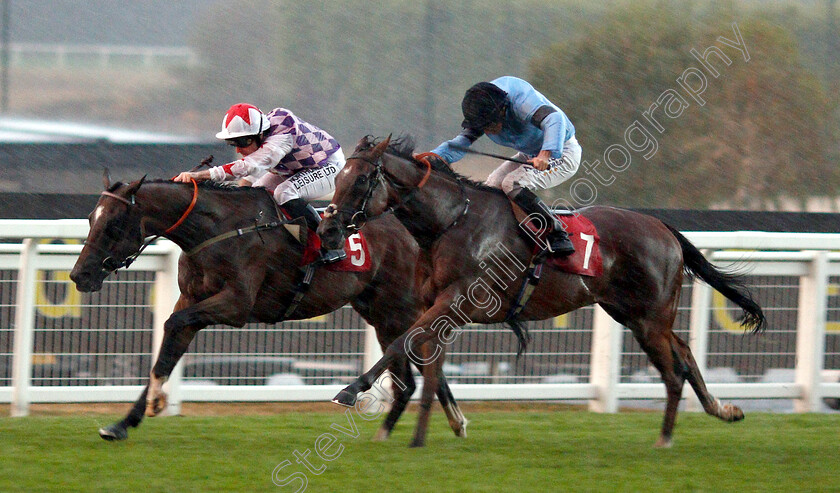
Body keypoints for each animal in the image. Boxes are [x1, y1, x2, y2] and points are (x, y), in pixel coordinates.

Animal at [69, 175, 470, 444]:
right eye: (90, 218)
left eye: (113, 223)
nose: (79, 275)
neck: (215, 229)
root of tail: (419, 235)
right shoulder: (193, 300)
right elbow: (166, 353)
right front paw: (123, 422)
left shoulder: (235, 305)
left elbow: (171, 325)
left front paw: (156, 401)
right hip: (379, 312)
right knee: (411, 372)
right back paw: (415, 426)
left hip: (398, 307)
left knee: (421, 360)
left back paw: (437, 421)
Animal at [318, 136, 764, 448]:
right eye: (336, 178)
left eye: (361, 179)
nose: (328, 228)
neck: (452, 221)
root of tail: (663, 228)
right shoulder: (436, 305)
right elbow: (428, 365)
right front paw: (421, 436)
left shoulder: (454, 302)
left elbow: (403, 345)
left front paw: (351, 391)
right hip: (632, 313)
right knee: (684, 352)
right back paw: (722, 410)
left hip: (649, 317)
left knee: (673, 372)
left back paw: (666, 438)